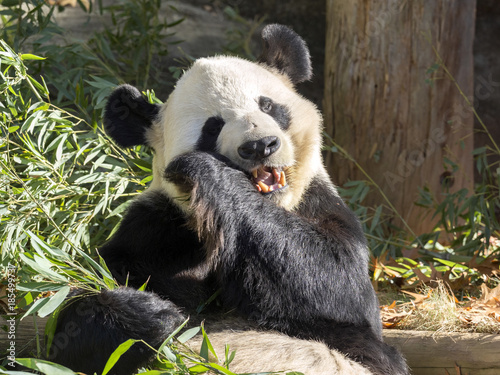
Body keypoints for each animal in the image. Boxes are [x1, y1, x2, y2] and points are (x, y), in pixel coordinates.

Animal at [51, 24, 406, 375]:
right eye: (212, 127)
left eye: (267, 105)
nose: (260, 145)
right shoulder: (157, 229)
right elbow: (73, 315)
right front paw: (149, 313)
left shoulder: (320, 205)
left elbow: (339, 282)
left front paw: (207, 171)